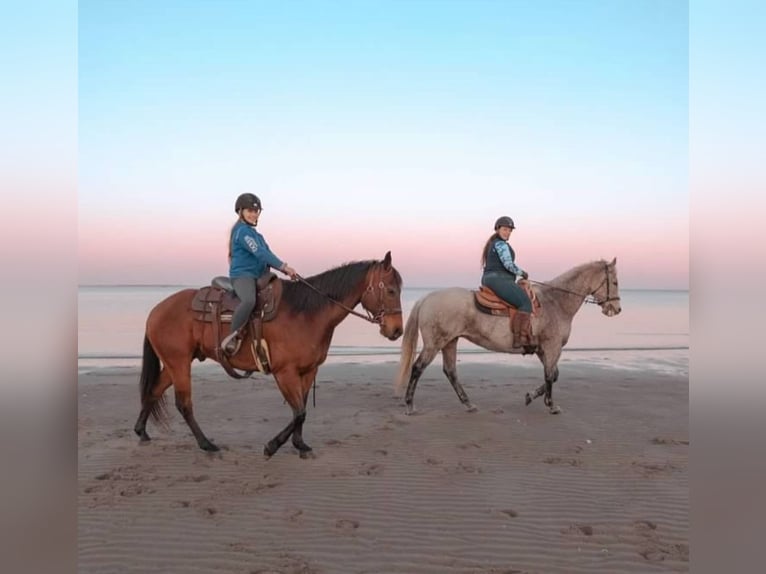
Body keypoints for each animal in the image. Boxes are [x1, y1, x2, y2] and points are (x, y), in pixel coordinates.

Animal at [134, 252, 404, 460]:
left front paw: (300, 445)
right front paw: (272, 446)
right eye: (390, 290)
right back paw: (207, 444)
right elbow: (299, 412)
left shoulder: (308, 370)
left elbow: (301, 409)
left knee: (154, 390)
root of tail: (155, 311)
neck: (306, 313)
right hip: (179, 363)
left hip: (175, 363)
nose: (396, 331)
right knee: (184, 404)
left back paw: (141, 432)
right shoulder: (284, 373)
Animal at [396, 258, 624, 416]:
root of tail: (426, 298)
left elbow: (553, 375)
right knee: (417, 368)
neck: (556, 301)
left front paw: (530, 396)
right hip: (435, 344)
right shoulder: (552, 348)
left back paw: (468, 404)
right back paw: (409, 405)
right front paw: (551, 406)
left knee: (450, 372)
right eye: (614, 281)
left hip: (450, 342)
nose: (617, 309)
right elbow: (550, 376)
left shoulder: (542, 349)